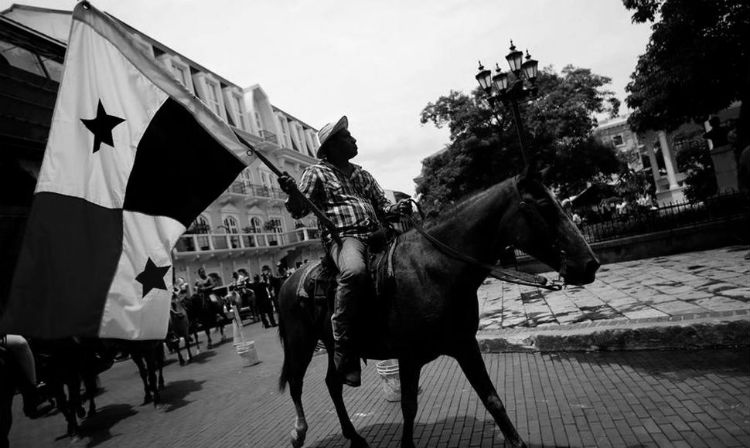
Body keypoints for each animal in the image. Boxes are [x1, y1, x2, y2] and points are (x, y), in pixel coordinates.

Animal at [276, 169, 600, 448]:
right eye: (544, 206)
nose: (590, 264)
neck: (434, 269)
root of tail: (288, 280)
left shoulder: (464, 345)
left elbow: (492, 399)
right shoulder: (408, 357)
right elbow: (409, 406)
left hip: (333, 346)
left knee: (332, 383)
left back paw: (354, 436)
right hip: (299, 343)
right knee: (295, 383)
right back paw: (298, 432)